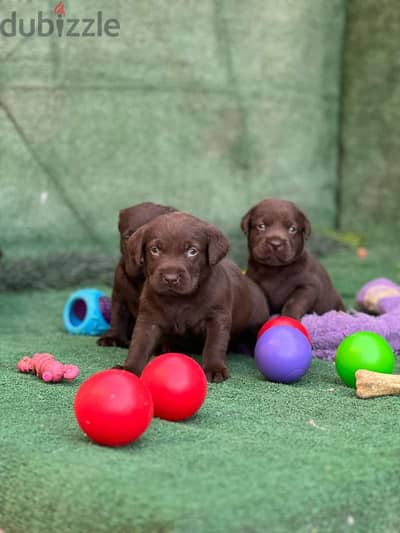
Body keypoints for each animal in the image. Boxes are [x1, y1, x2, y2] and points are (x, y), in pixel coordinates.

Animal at [97, 202, 175, 348]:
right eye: (128, 237)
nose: (142, 259)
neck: (141, 280)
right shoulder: (119, 294)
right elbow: (118, 316)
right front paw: (112, 337)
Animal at [119, 210, 268, 380]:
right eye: (155, 250)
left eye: (192, 251)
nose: (170, 278)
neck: (179, 299)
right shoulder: (148, 318)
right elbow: (139, 344)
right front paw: (129, 369)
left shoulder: (217, 318)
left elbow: (214, 345)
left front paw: (214, 368)